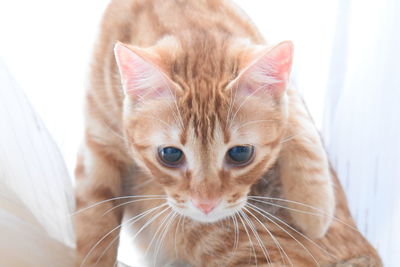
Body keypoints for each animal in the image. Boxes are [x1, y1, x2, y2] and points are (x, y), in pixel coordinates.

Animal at [73, 1, 380, 266]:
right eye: (170, 154)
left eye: (240, 153)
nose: (206, 205)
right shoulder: (98, 145)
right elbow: (93, 227)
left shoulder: (274, 66)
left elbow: (299, 121)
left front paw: (315, 210)